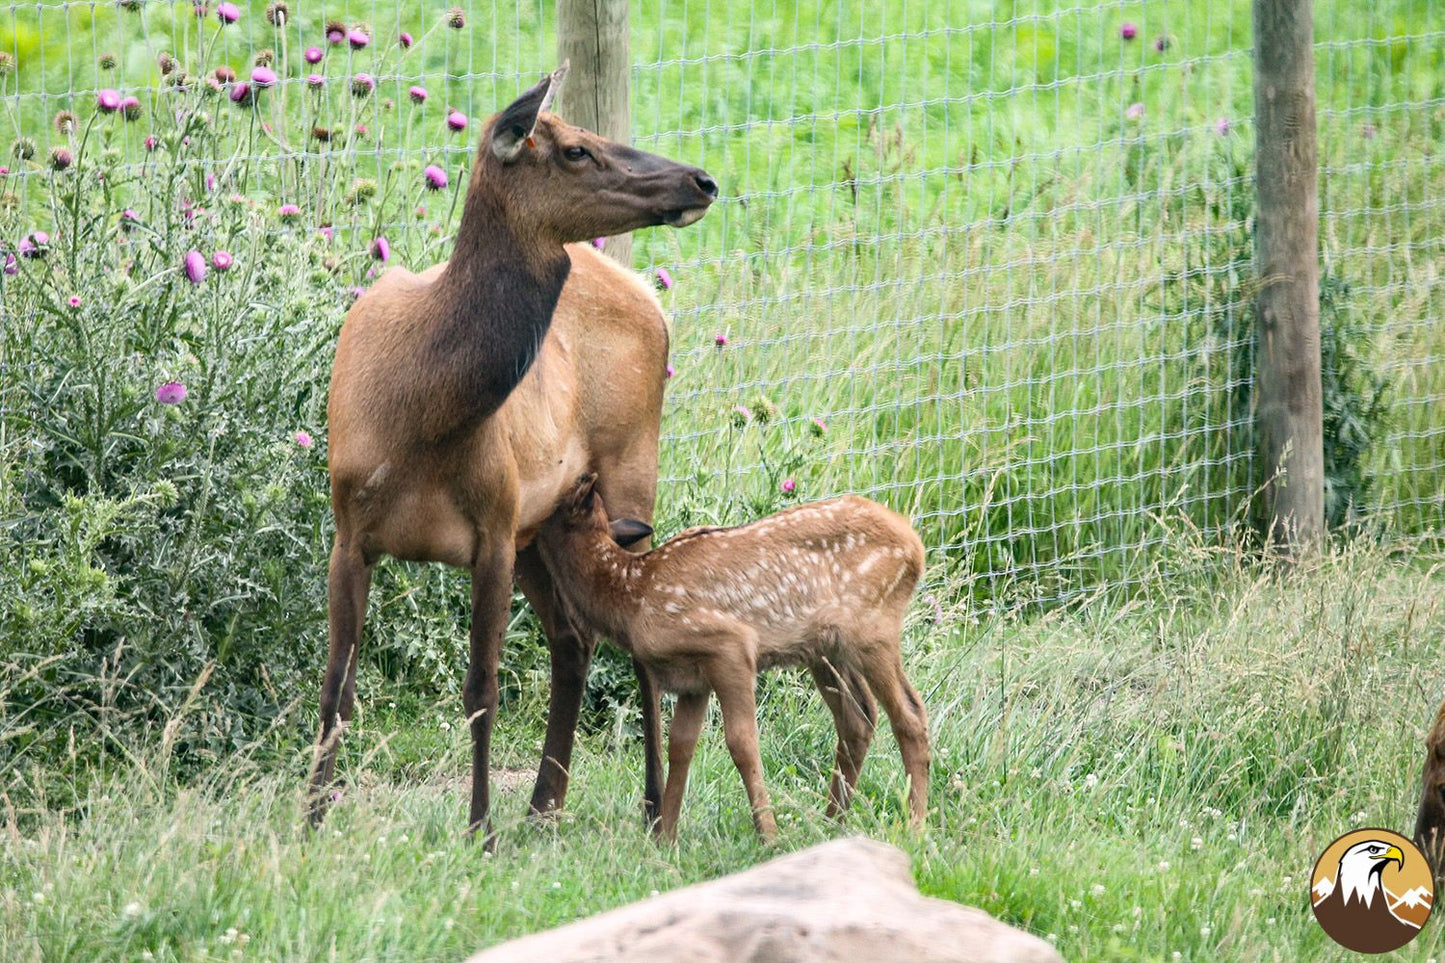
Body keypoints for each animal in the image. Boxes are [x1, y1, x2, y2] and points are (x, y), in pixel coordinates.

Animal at [316, 63, 722, 838]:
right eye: (574, 149)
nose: (702, 180)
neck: (419, 419)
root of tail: (649, 297)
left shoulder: (495, 527)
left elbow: (482, 687)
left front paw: (478, 829)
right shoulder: (349, 530)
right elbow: (335, 686)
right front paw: (308, 819)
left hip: (629, 471)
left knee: (635, 639)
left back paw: (650, 806)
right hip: (552, 519)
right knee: (573, 640)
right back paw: (544, 802)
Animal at [537, 477, 930, 838]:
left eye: (555, 508)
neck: (632, 595)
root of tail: (915, 544)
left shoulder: (730, 647)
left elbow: (742, 743)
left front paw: (768, 835)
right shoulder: (692, 678)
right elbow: (681, 746)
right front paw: (666, 839)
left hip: (873, 630)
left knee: (909, 714)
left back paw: (914, 828)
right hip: (825, 649)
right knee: (858, 718)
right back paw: (831, 823)